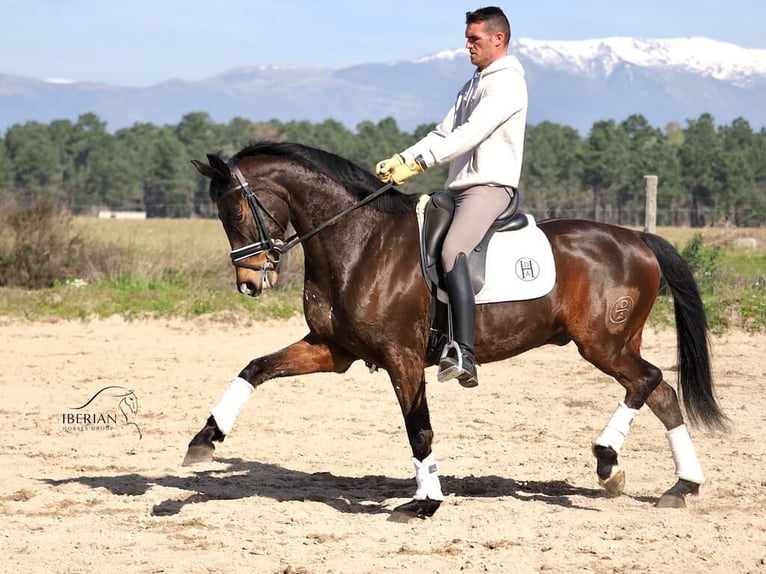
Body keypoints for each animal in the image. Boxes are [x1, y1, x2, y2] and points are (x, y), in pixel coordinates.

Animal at [185, 140, 726, 518]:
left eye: (235, 210)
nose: (250, 282)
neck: (361, 242)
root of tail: (637, 238)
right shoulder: (333, 350)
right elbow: (255, 368)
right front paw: (205, 438)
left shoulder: (401, 355)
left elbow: (418, 428)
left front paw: (426, 501)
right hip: (615, 343)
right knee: (661, 394)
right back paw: (680, 486)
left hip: (602, 343)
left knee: (648, 381)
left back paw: (607, 459)